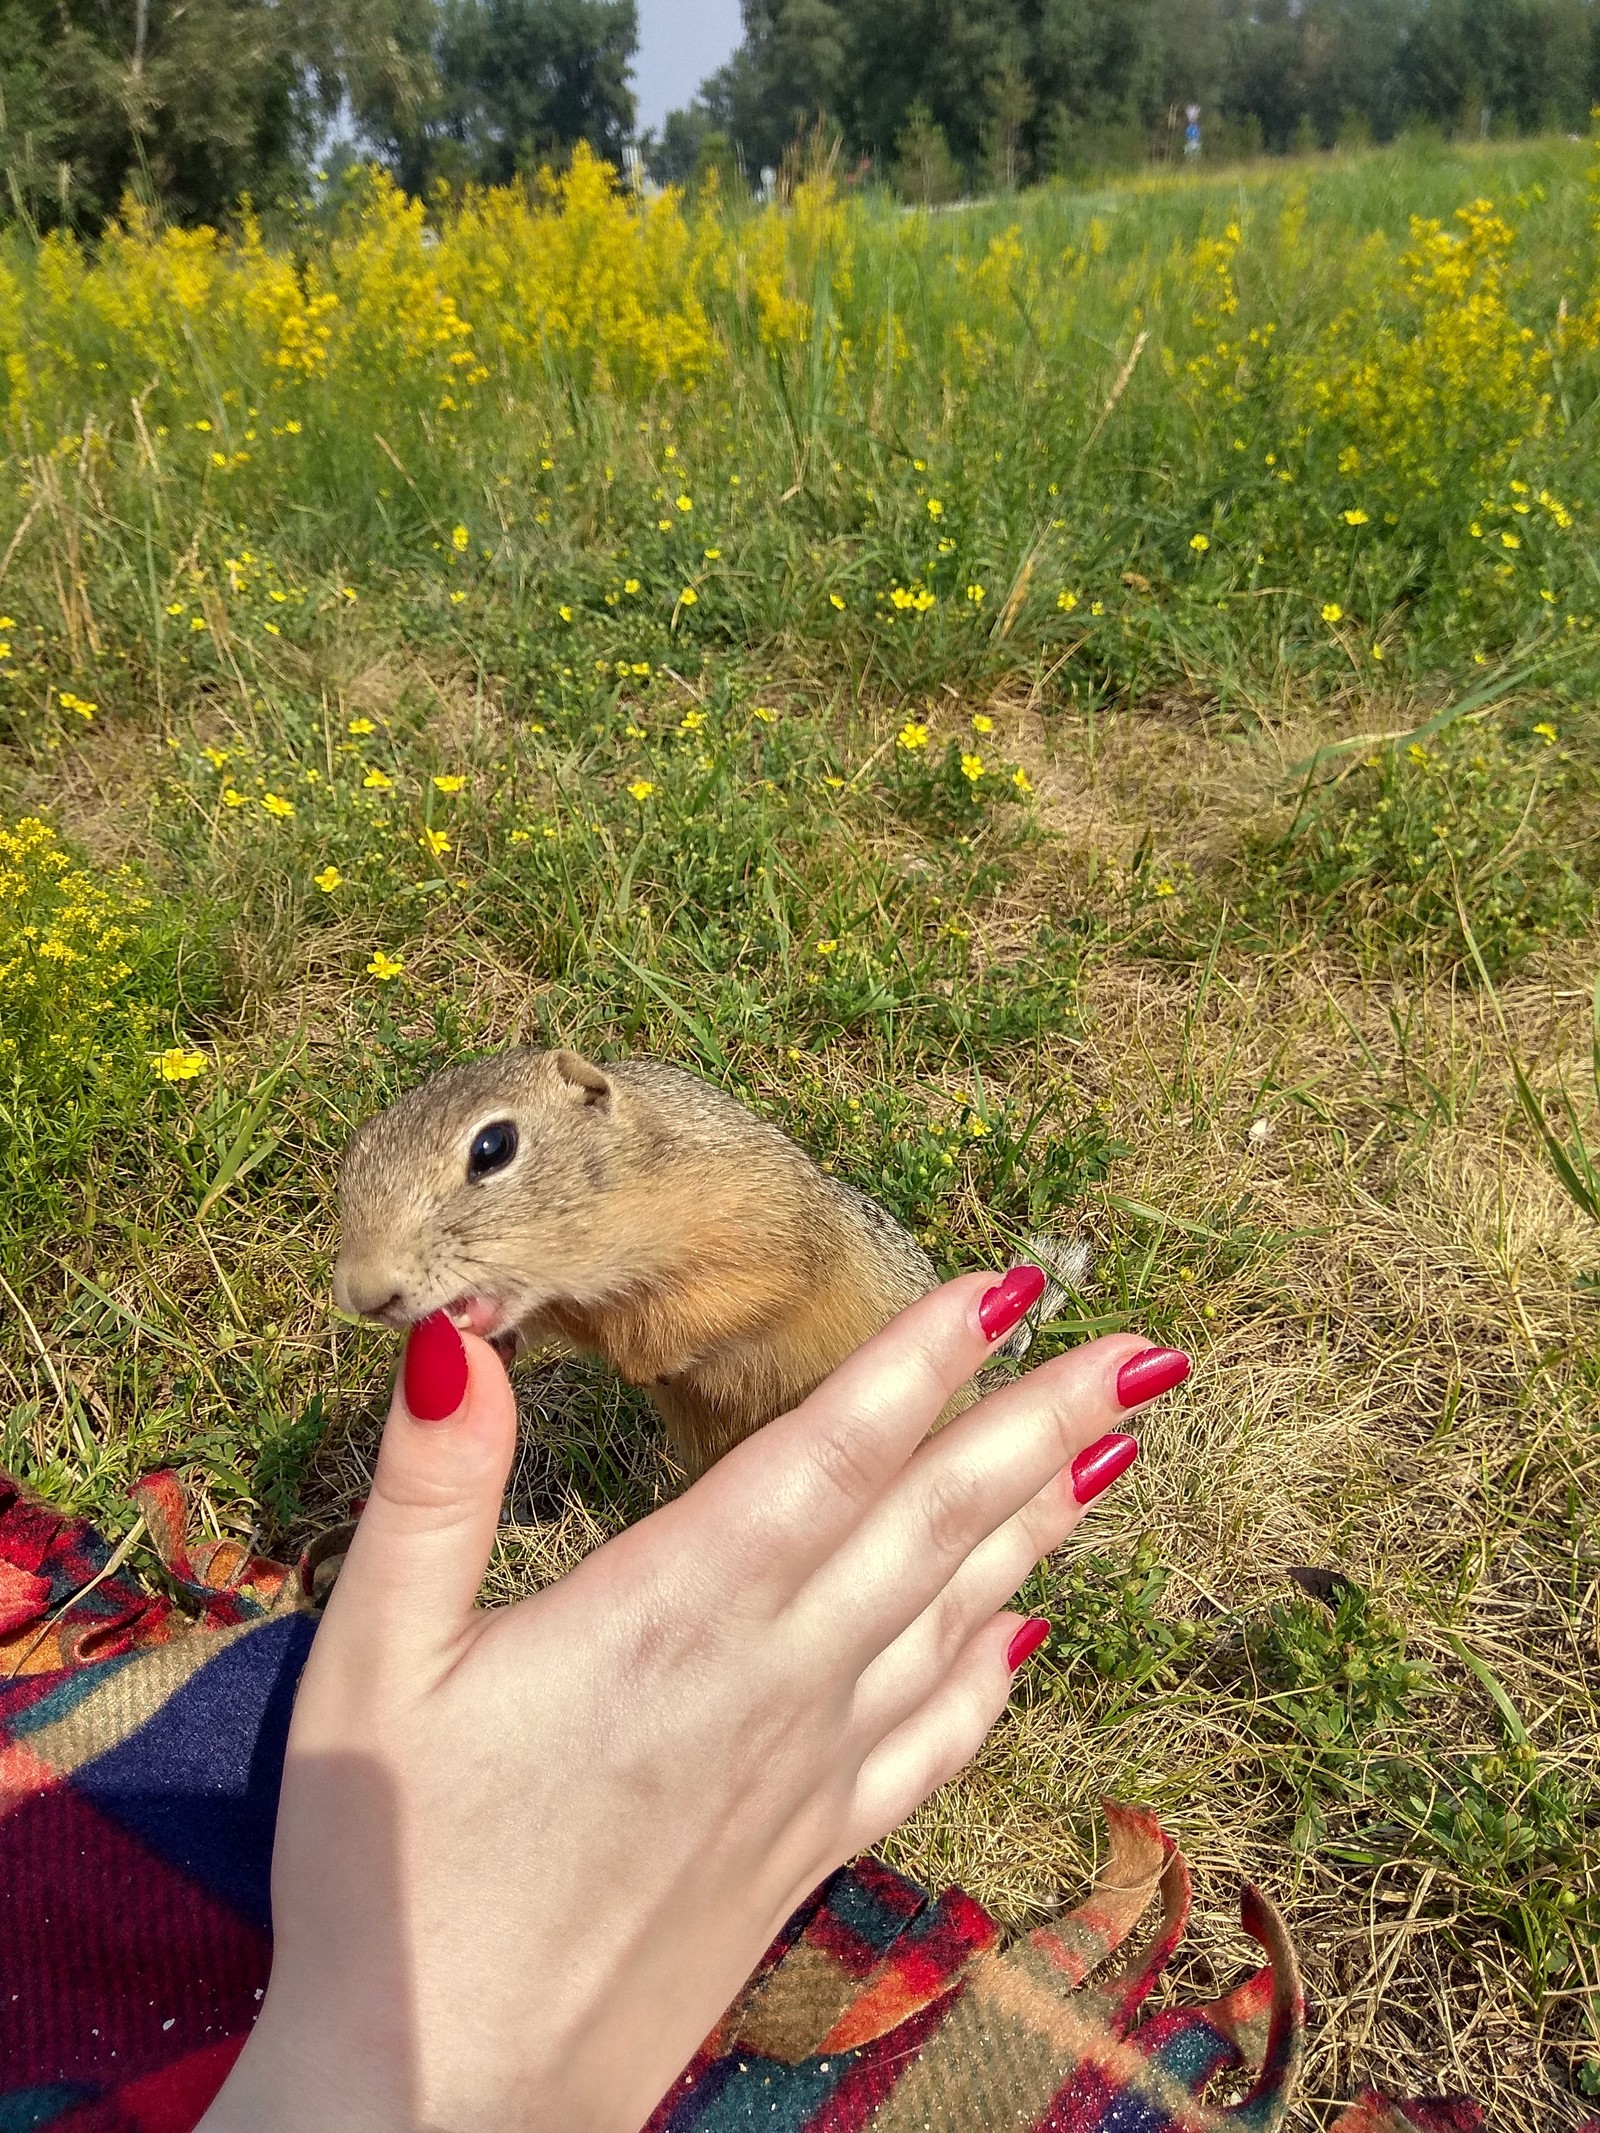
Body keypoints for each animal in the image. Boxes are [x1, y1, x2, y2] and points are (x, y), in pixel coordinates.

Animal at [337, 1049, 1019, 1484]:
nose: (364, 1294)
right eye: (353, 1155)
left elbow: (744, 1296)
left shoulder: (758, 1229)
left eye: (493, 1147)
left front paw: (646, 1362)